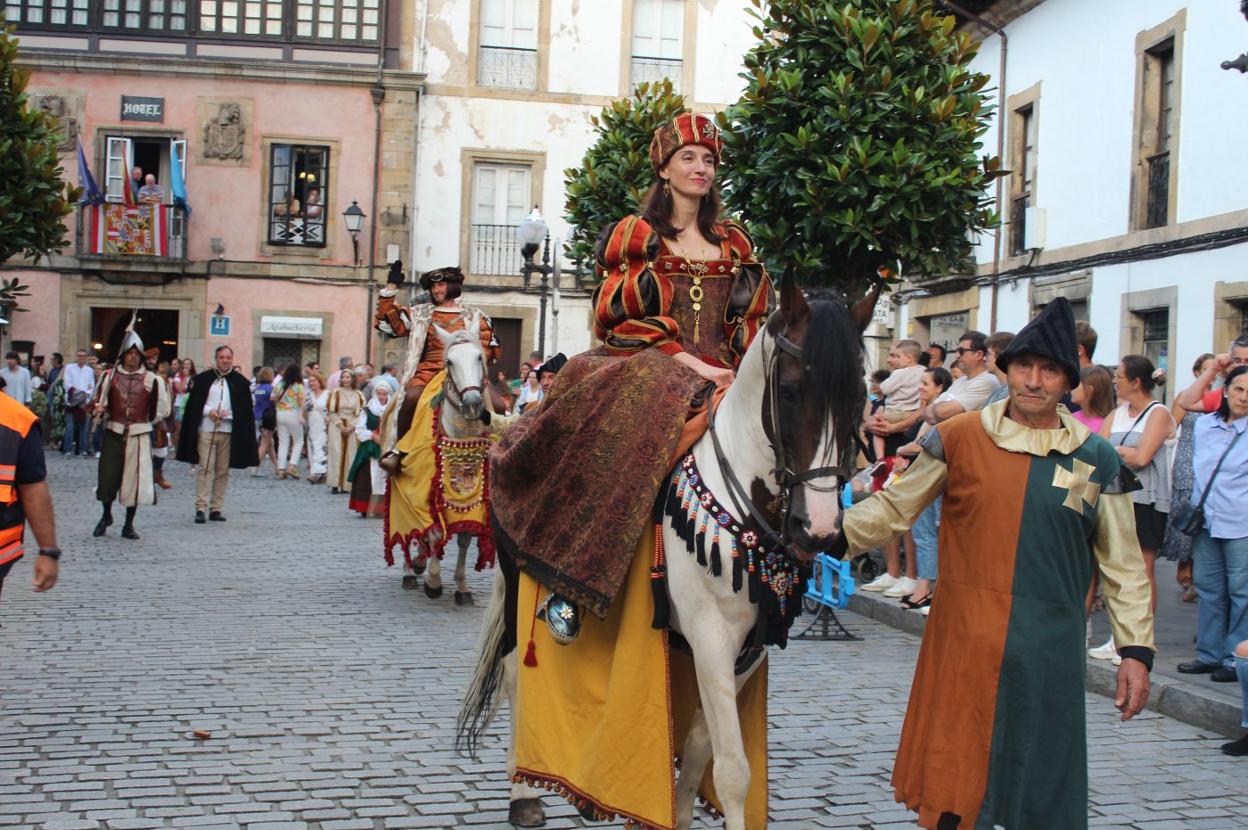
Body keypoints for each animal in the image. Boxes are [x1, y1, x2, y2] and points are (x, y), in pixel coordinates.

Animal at [459, 283, 878, 828]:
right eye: (788, 392)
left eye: (859, 397)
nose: (820, 528)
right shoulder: (712, 636)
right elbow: (733, 771)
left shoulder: (749, 648)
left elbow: (700, 748)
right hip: (515, 584)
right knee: (513, 674)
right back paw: (522, 796)